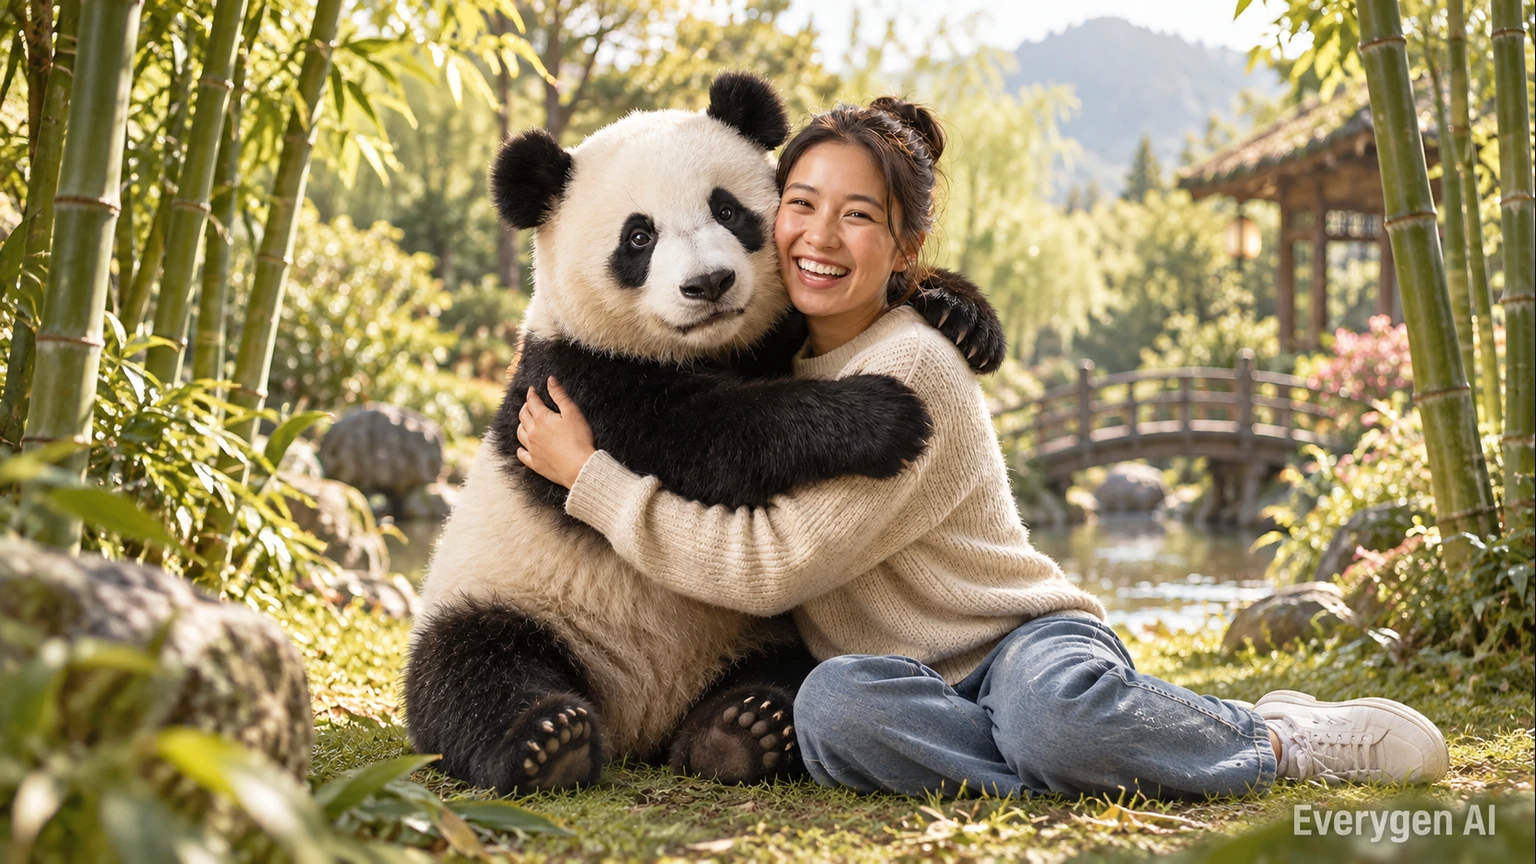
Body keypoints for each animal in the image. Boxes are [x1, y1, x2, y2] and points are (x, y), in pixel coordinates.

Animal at [404, 72, 1005, 794]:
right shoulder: (580, 381)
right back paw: (551, 741)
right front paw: (885, 417)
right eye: (638, 238)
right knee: (469, 670)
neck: (707, 349)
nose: (709, 283)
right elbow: (706, 438)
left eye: (728, 210)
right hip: (508, 595)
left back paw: (741, 730)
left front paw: (962, 316)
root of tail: (642, 720)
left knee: (784, 670)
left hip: (755, 630)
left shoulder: (771, 337)